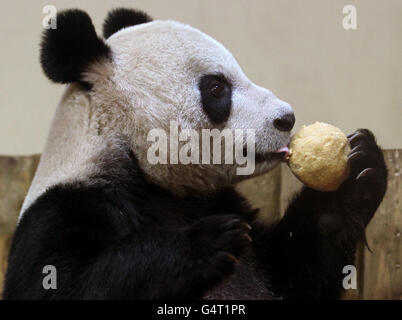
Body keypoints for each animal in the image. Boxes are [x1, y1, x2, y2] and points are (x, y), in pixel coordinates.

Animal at [2, 8, 386, 300]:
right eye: (217, 88)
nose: (286, 118)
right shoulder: (63, 209)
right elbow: (61, 285)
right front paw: (204, 244)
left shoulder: (222, 204)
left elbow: (294, 272)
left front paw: (358, 170)